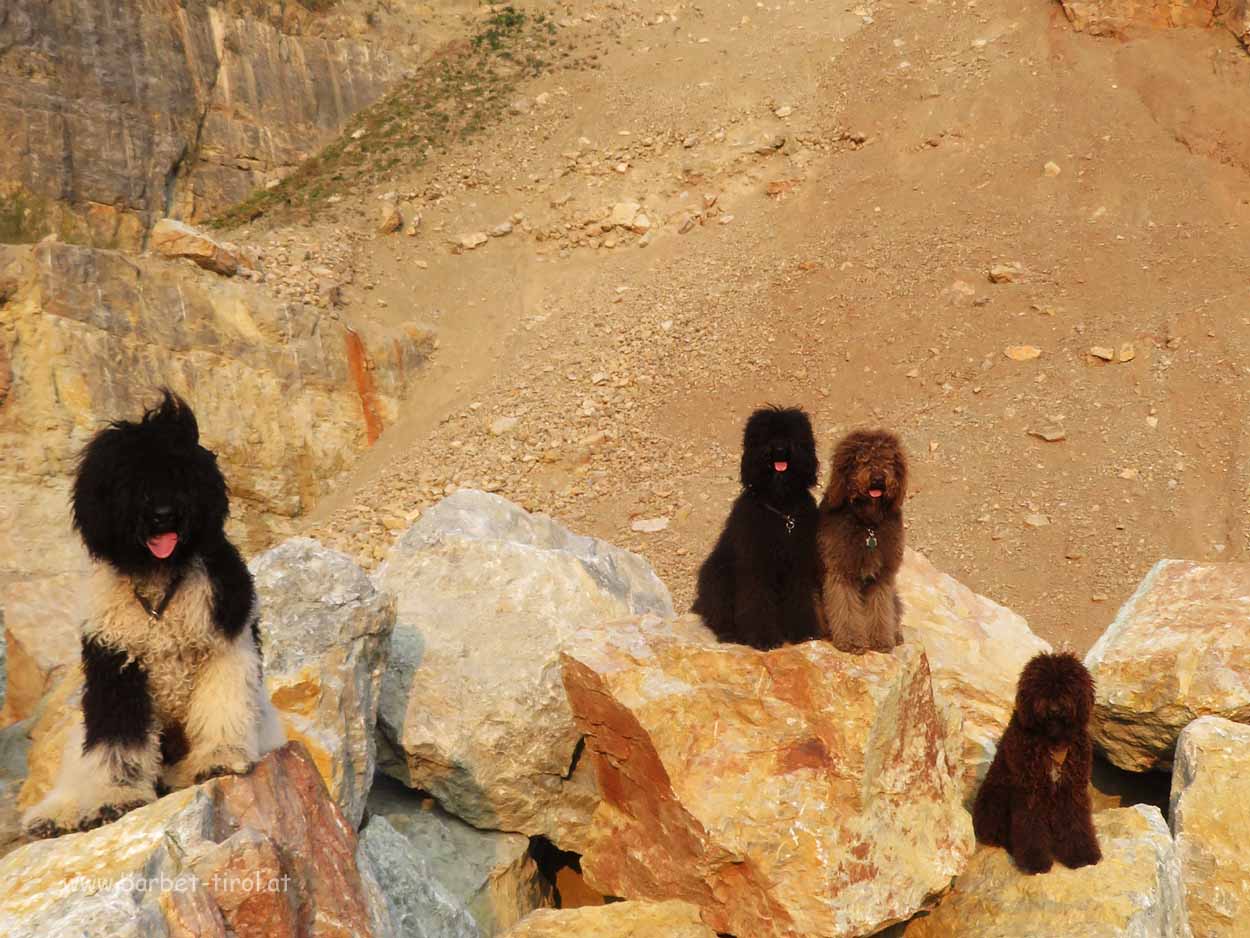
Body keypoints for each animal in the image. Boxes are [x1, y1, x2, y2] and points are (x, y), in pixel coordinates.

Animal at [23, 390, 283, 835]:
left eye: (180, 474)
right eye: (128, 482)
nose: (162, 514)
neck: (159, 584)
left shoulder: (224, 648)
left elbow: (223, 708)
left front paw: (219, 759)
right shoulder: (116, 668)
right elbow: (118, 744)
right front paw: (116, 799)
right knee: (80, 769)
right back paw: (54, 815)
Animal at [690, 407, 825, 650]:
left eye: (792, 434)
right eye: (765, 436)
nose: (779, 449)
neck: (781, 509)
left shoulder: (799, 566)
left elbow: (799, 598)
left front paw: (804, 633)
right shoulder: (756, 565)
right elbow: (757, 601)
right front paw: (764, 638)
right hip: (717, 578)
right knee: (719, 615)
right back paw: (730, 635)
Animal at [815, 427, 905, 655]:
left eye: (888, 459)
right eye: (861, 459)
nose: (878, 478)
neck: (868, 526)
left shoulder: (882, 577)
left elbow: (880, 609)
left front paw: (881, 640)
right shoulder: (840, 572)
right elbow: (845, 608)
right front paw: (852, 641)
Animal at [970, 650, 1100, 880]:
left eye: (1068, 685)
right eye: (1040, 686)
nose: (1055, 708)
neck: (1053, 740)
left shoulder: (1072, 789)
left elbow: (1076, 823)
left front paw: (1082, 855)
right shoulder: (1030, 791)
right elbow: (1030, 828)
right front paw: (1035, 862)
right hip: (993, 800)